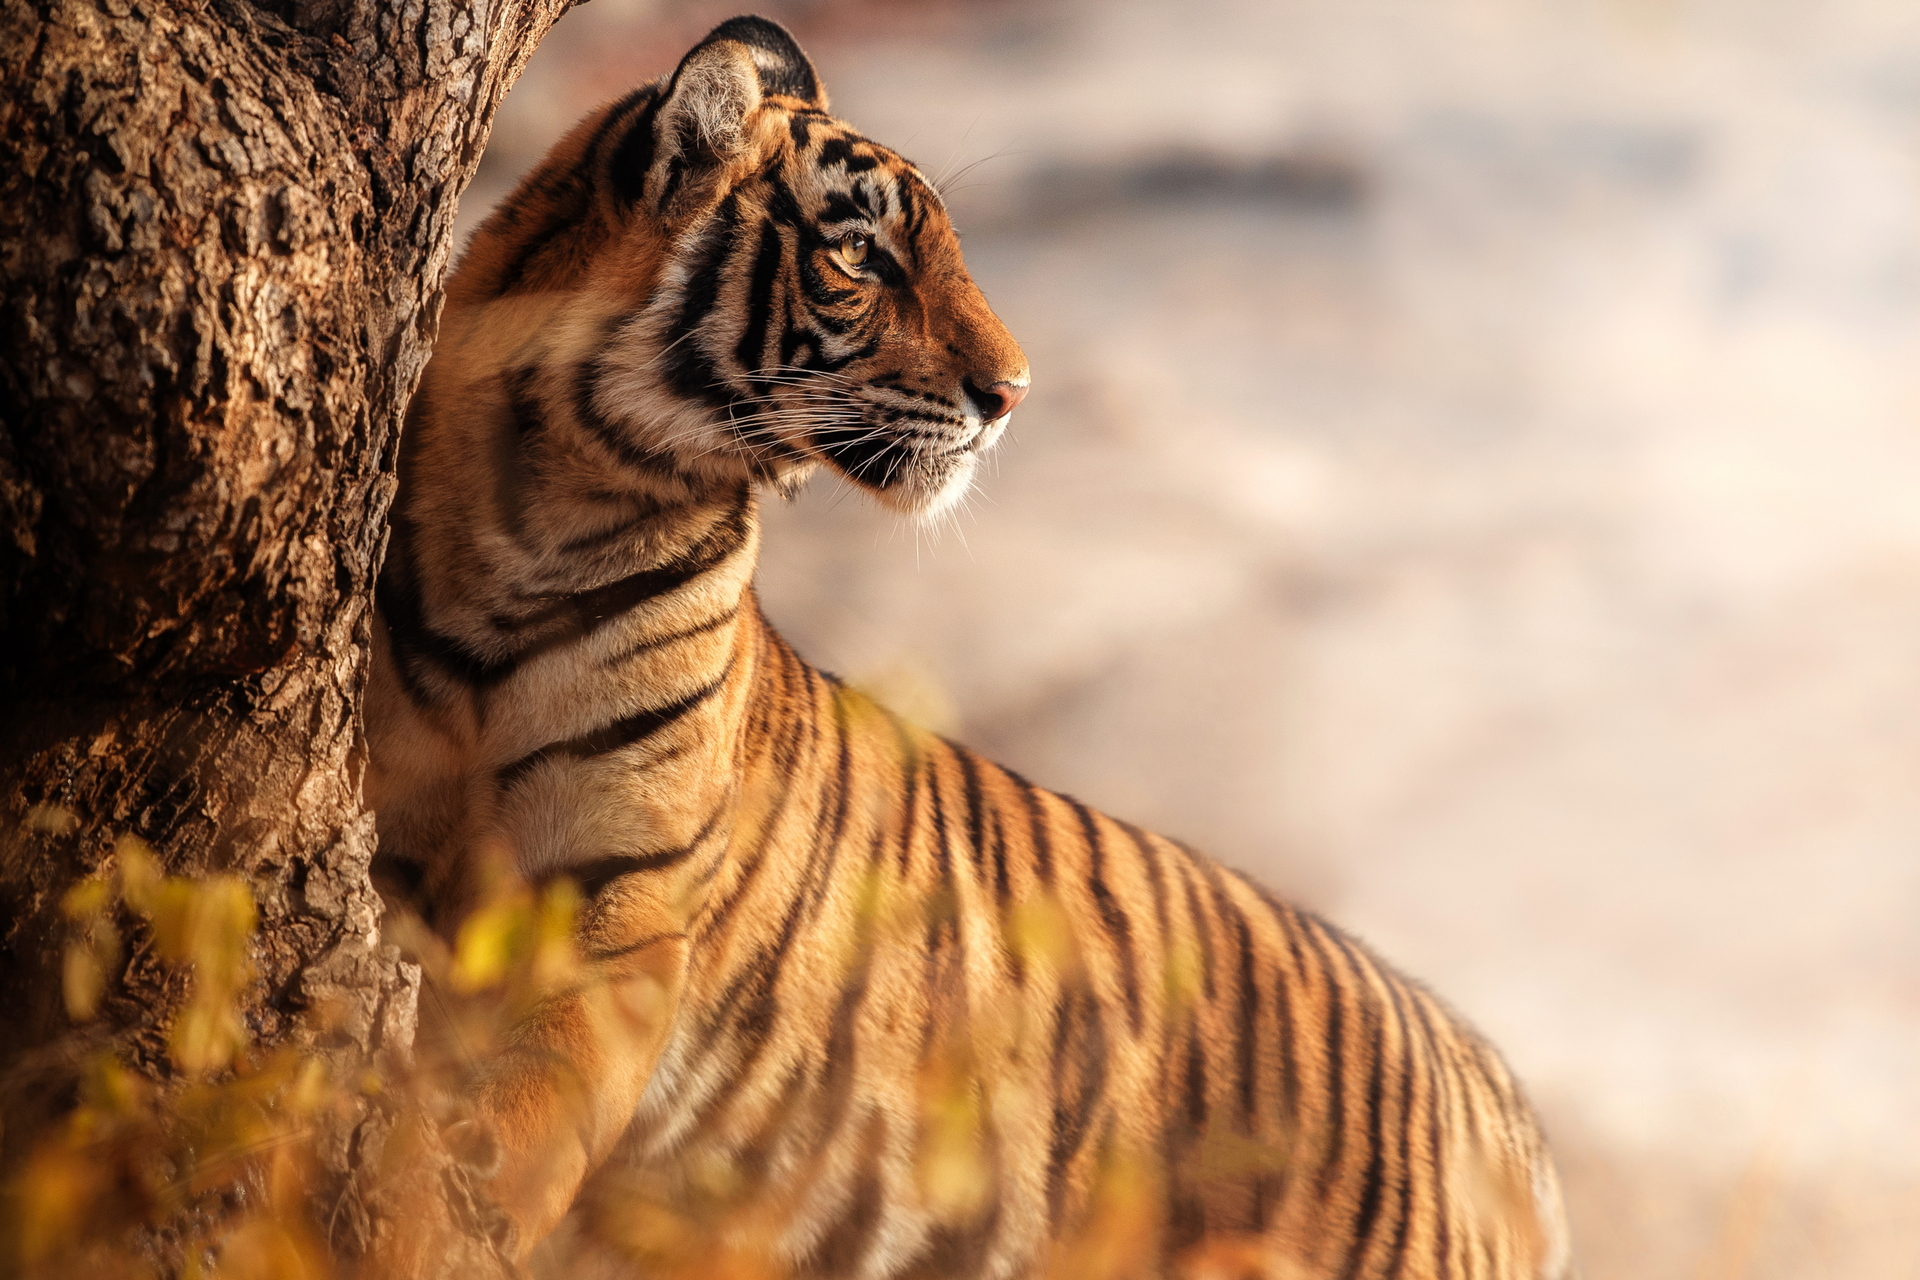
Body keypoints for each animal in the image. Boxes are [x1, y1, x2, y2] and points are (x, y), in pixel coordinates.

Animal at [362, 12, 1574, 1280]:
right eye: (864, 256)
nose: (1016, 393)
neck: (545, 516)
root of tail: (1500, 1096)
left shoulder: (622, 913)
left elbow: (527, 1120)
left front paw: (436, 1219)